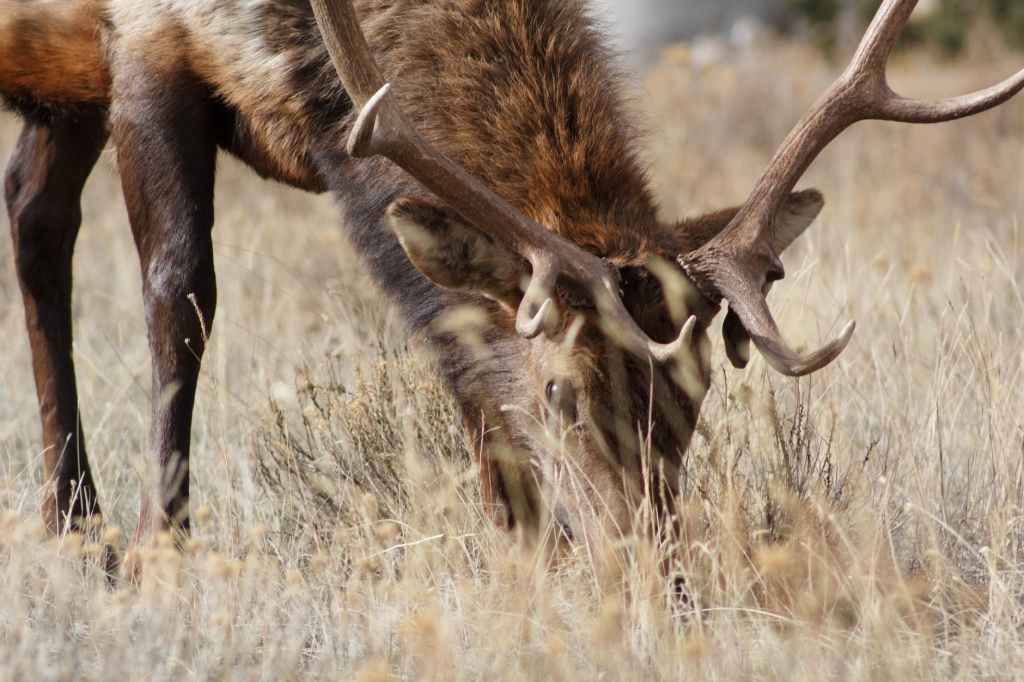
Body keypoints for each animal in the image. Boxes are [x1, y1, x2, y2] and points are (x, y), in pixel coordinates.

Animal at [2, 0, 1022, 562]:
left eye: (691, 403)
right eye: (563, 396)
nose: (659, 572)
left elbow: (460, 359)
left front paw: (520, 554)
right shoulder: (144, 46)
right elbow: (181, 294)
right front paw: (160, 552)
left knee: (32, 211)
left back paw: (69, 526)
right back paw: (86, 529)